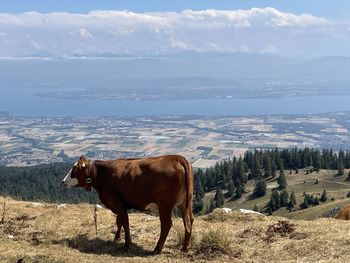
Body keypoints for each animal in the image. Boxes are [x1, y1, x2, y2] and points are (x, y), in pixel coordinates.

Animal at [62, 156, 194, 255]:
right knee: (188, 221)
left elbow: (124, 221)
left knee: (167, 224)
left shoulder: (117, 202)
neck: (102, 175)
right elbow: (119, 220)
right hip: (185, 203)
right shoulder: (119, 204)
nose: (63, 181)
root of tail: (176, 157)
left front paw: (127, 244)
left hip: (165, 204)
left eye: (74, 168)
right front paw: (117, 237)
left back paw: (157, 248)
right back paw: (184, 248)